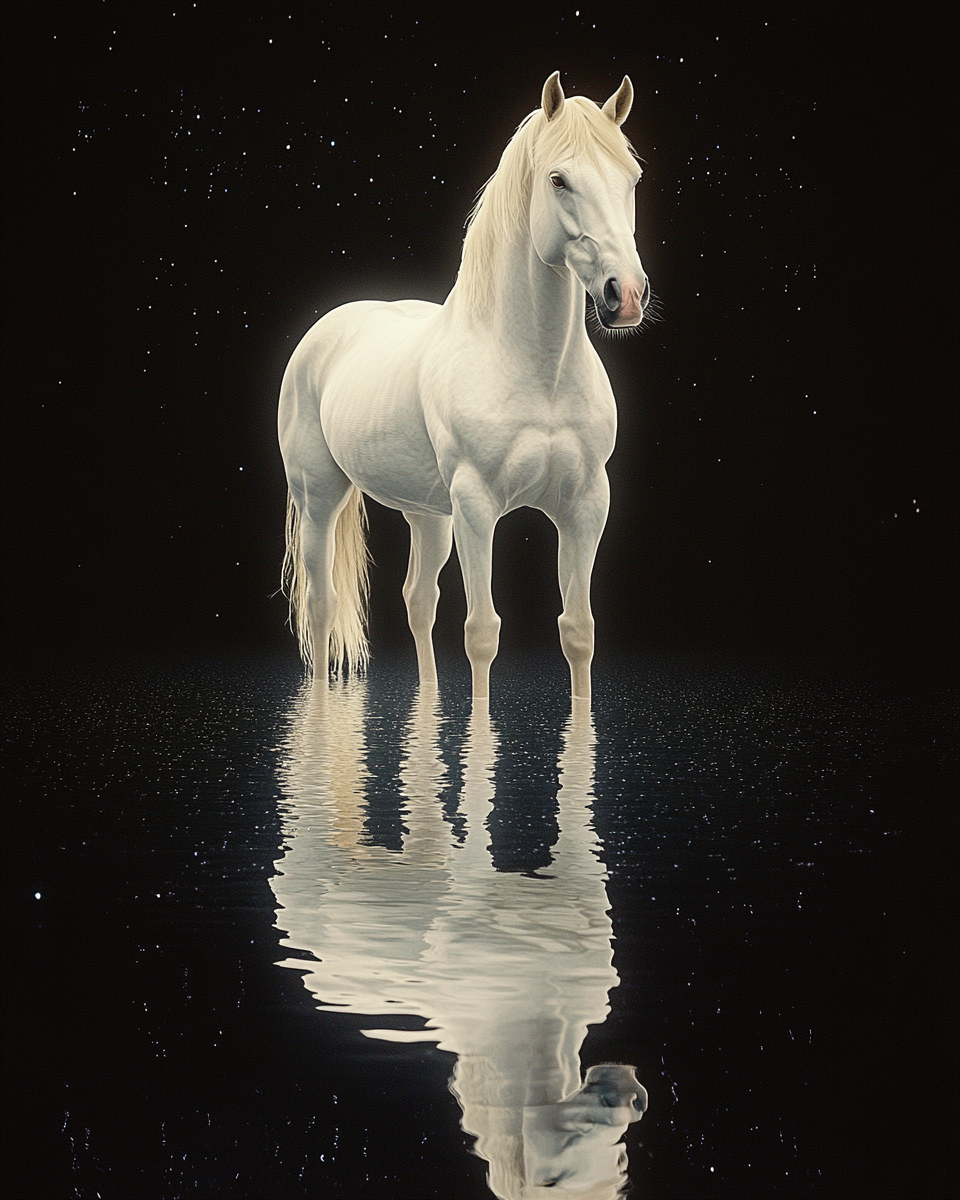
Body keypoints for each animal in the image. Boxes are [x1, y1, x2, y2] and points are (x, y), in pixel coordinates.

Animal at [279, 70, 652, 700]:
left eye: (632, 178)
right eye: (558, 179)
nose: (623, 294)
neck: (537, 373)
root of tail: (327, 328)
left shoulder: (585, 504)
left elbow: (578, 632)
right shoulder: (478, 506)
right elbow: (481, 634)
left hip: (429, 514)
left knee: (417, 601)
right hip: (320, 497)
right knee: (323, 604)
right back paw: (321, 712)